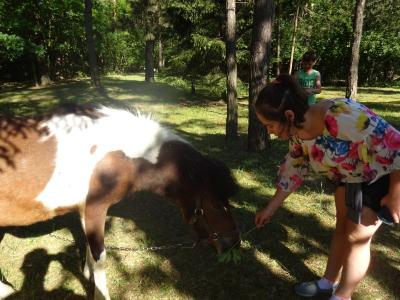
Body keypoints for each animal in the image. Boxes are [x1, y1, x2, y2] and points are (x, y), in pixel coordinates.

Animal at [0, 103, 239, 300]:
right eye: (217, 204)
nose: (234, 243)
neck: (116, 155)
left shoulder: (84, 210)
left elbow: (89, 247)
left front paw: (87, 273)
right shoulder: (95, 209)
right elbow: (100, 256)